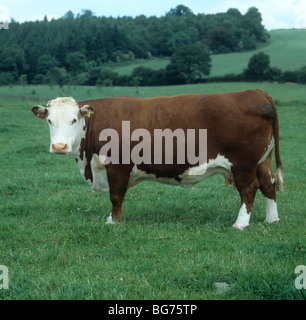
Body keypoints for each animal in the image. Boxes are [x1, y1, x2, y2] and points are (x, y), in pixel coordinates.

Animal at [30, 90, 282, 230]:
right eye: (50, 121)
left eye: (74, 120)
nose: (59, 147)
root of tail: (255, 92)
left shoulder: (117, 165)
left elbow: (116, 195)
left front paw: (114, 222)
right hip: (262, 161)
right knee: (268, 184)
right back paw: (272, 220)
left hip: (243, 164)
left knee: (249, 189)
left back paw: (240, 224)